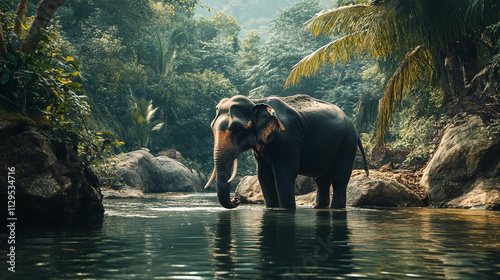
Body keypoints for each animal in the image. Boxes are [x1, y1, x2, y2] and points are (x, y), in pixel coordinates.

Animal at [204, 95, 372, 209]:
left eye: (238, 128)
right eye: (211, 128)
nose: (236, 200)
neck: (256, 102)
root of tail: (352, 125)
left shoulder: (287, 139)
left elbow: (284, 174)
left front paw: (286, 209)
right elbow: (264, 176)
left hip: (347, 142)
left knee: (338, 179)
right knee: (322, 181)